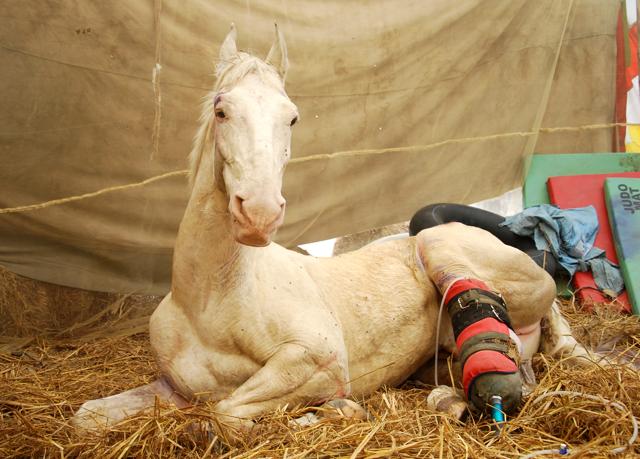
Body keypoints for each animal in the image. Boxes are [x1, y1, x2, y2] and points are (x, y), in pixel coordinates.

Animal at [73, 24, 595, 437]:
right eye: (222, 110)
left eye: (292, 117)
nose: (258, 213)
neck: (211, 300)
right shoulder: (173, 387)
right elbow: (87, 417)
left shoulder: (316, 362)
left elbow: (224, 413)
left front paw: (328, 412)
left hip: (439, 242)